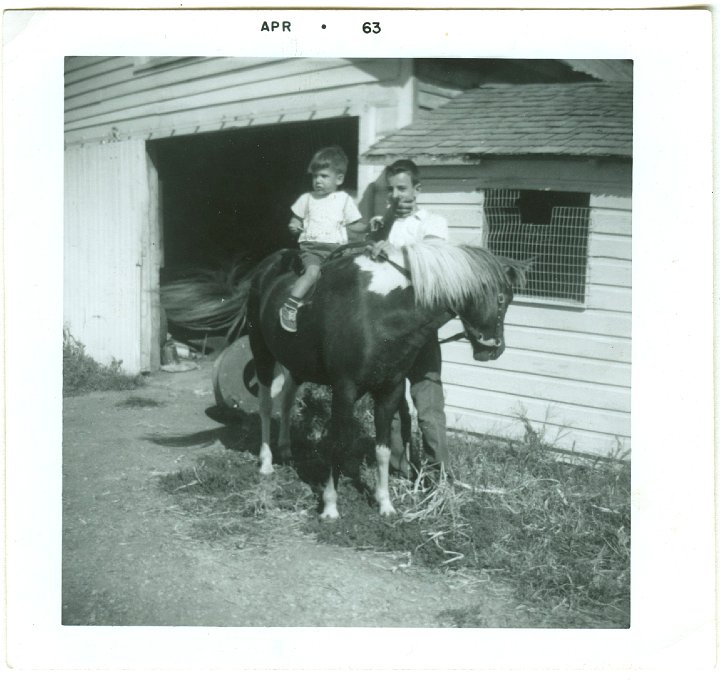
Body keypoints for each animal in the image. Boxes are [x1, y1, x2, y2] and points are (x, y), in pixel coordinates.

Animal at [160, 242, 524, 520]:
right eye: (502, 298)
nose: (493, 349)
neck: (383, 311)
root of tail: (266, 266)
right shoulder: (345, 389)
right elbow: (337, 443)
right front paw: (331, 507)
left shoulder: (390, 389)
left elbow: (382, 448)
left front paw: (385, 504)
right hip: (262, 352)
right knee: (265, 406)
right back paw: (266, 463)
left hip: (295, 364)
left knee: (287, 399)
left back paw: (286, 449)